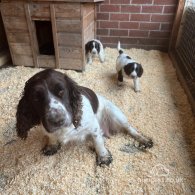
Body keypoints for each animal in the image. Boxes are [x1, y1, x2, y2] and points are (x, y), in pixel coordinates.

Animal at [16, 69, 152, 166]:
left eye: (61, 91)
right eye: (36, 98)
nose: (57, 120)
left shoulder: (94, 127)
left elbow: (98, 142)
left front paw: (103, 157)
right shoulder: (47, 129)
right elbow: (51, 137)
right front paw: (51, 146)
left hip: (115, 114)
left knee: (130, 129)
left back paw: (144, 140)